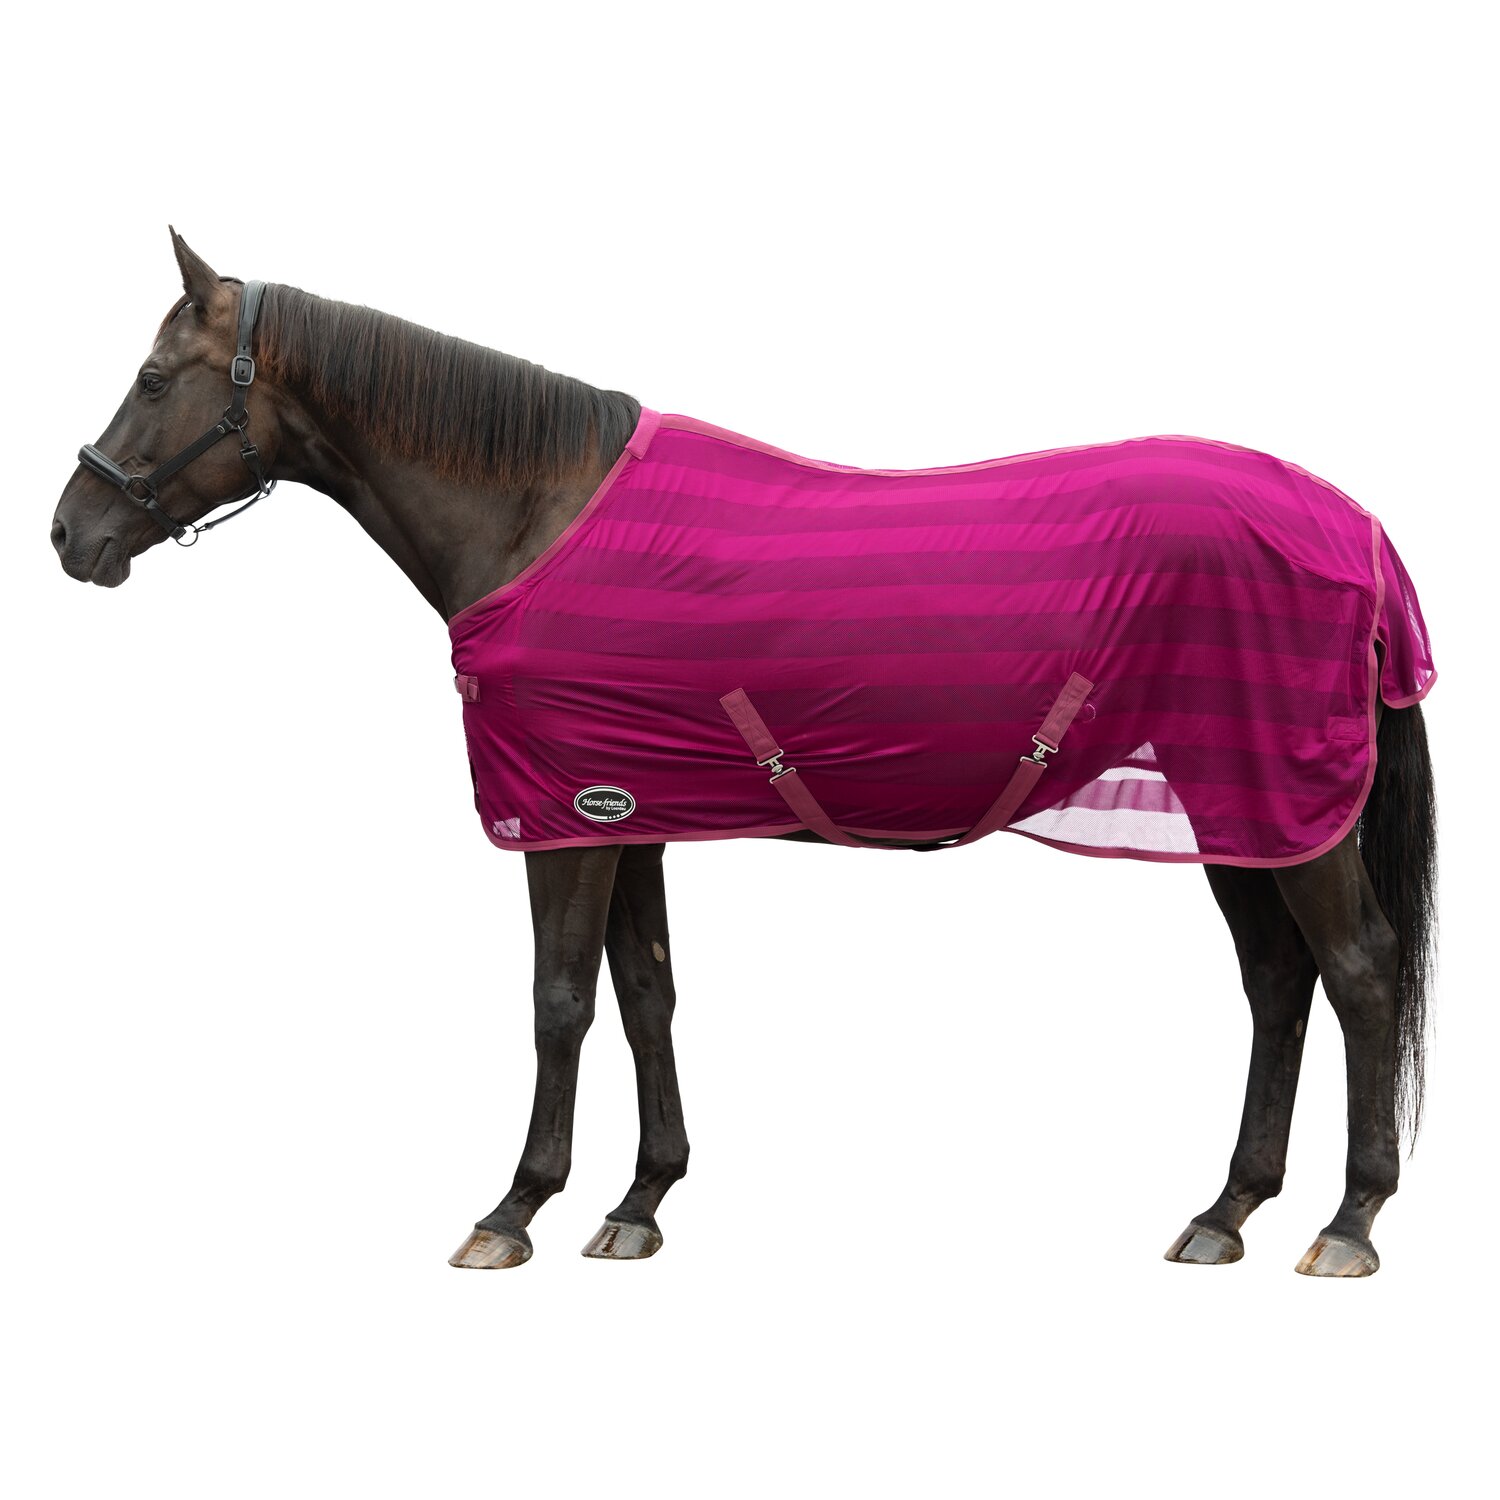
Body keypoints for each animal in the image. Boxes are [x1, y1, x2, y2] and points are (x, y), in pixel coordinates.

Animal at [51, 231, 1437, 1276]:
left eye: (155, 377)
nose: (71, 533)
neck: (539, 514)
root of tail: (1353, 527)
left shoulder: (561, 818)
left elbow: (559, 1002)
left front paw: (516, 1209)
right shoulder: (625, 810)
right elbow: (646, 993)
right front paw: (639, 1202)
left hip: (1277, 802)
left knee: (1358, 973)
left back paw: (1349, 1223)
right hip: (1237, 804)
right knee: (1278, 982)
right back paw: (1225, 1212)